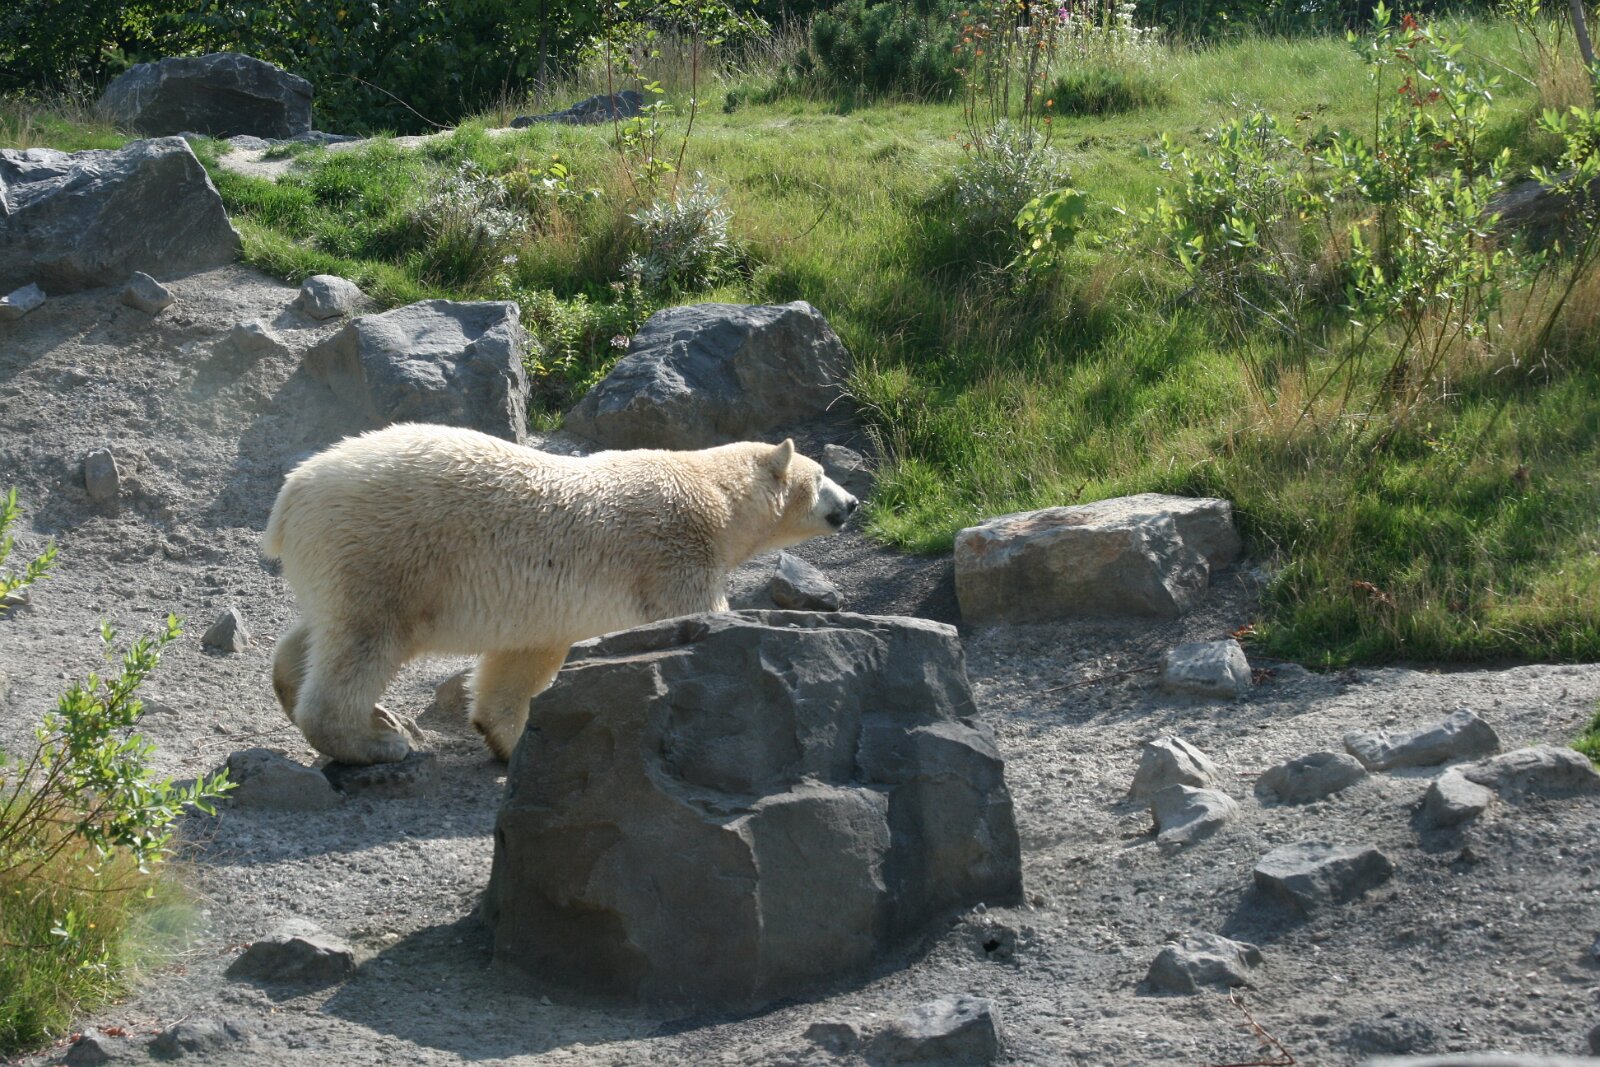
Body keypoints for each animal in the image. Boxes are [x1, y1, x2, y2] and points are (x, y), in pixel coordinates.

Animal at [263, 422, 859, 765]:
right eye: (821, 475)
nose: (853, 502)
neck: (714, 494)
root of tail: (291, 494)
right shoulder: (675, 552)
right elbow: (694, 618)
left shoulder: (543, 604)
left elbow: (521, 660)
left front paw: (510, 740)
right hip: (387, 547)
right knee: (365, 640)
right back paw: (374, 742)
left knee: (321, 629)